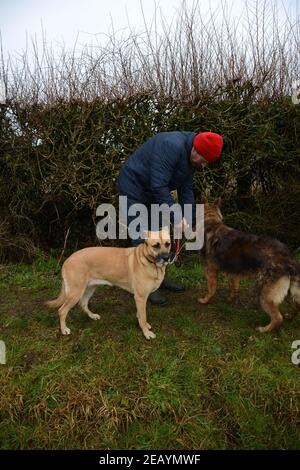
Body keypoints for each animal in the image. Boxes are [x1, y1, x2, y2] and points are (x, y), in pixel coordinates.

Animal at [197, 200, 300, 332]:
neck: (212, 223)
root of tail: (288, 258)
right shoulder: (234, 274)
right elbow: (234, 288)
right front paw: (230, 300)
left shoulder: (210, 272)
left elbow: (211, 290)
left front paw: (205, 300)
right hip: (287, 293)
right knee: (296, 305)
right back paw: (289, 317)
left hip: (265, 295)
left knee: (278, 318)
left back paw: (264, 329)